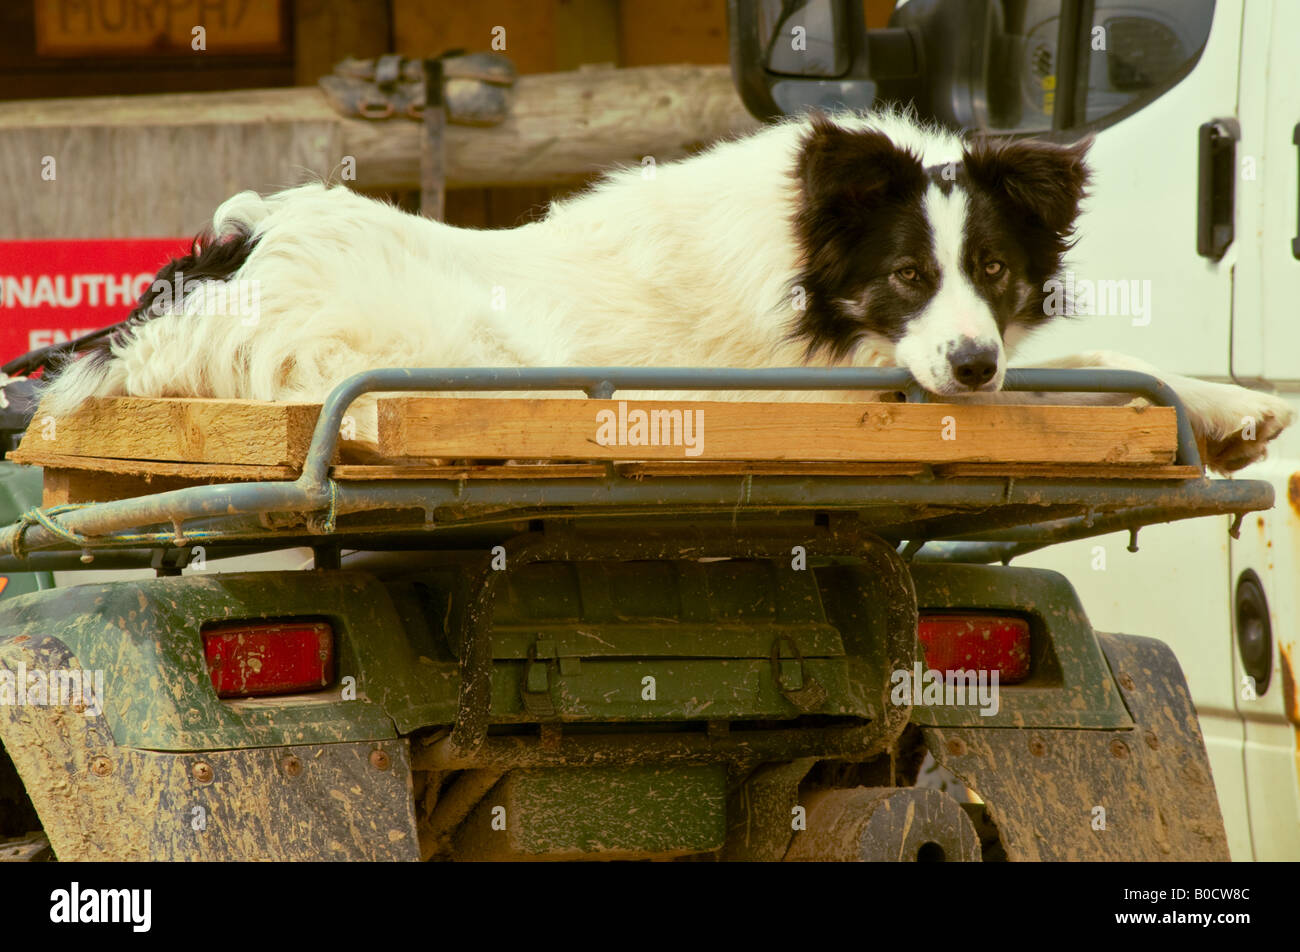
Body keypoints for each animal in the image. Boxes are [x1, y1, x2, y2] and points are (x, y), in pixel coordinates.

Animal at [38, 108, 1289, 473]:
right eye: (904, 274)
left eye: (991, 271)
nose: (974, 364)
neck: (800, 264)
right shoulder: (843, 383)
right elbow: (1083, 364)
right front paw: (1232, 407)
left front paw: (1233, 406)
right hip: (471, 348)